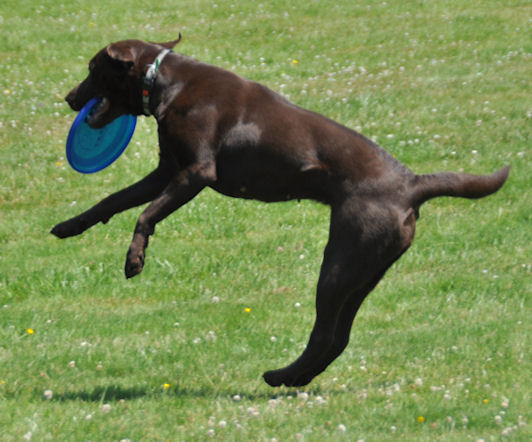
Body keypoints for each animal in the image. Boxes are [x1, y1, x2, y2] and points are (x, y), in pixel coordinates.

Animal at [52, 38, 510, 386]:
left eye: (92, 68)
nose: (70, 97)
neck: (165, 79)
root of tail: (412, 184)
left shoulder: (195, 173)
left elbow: (145, 214)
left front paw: (134, 260)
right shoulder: (166, 171)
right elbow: (114, 201)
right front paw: (70, 225)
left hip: (340, 263)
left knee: (326, 333)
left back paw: (280, 376)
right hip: (365, 271)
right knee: (339, 336)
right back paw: (294, 377)